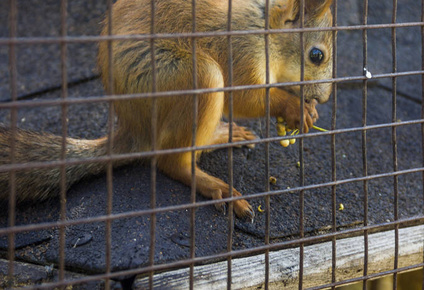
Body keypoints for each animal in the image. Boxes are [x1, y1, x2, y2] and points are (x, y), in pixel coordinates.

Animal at [0, 0, 332, 220]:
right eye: (316, 55)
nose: (325, 98)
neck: (264, 26)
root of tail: (134, 129)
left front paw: (309, 111)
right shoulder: (242, 52)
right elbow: (245, 97)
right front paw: (293, 106)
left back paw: (221, 137)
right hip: (193, 77)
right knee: (170, 161)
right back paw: (213, 185)